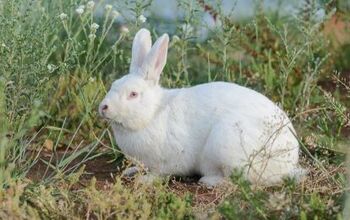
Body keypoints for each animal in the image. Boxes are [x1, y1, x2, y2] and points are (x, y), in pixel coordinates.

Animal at [98, 28, 304, 186]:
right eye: (114, 84)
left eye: (133, 94)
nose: (103, 107)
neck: (152, 113)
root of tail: (288, 165)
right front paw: (131, 171)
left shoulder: (168, 161)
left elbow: (161, 173)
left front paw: (145, 181)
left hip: (227, 143)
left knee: (239, 181)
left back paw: (209, 181)